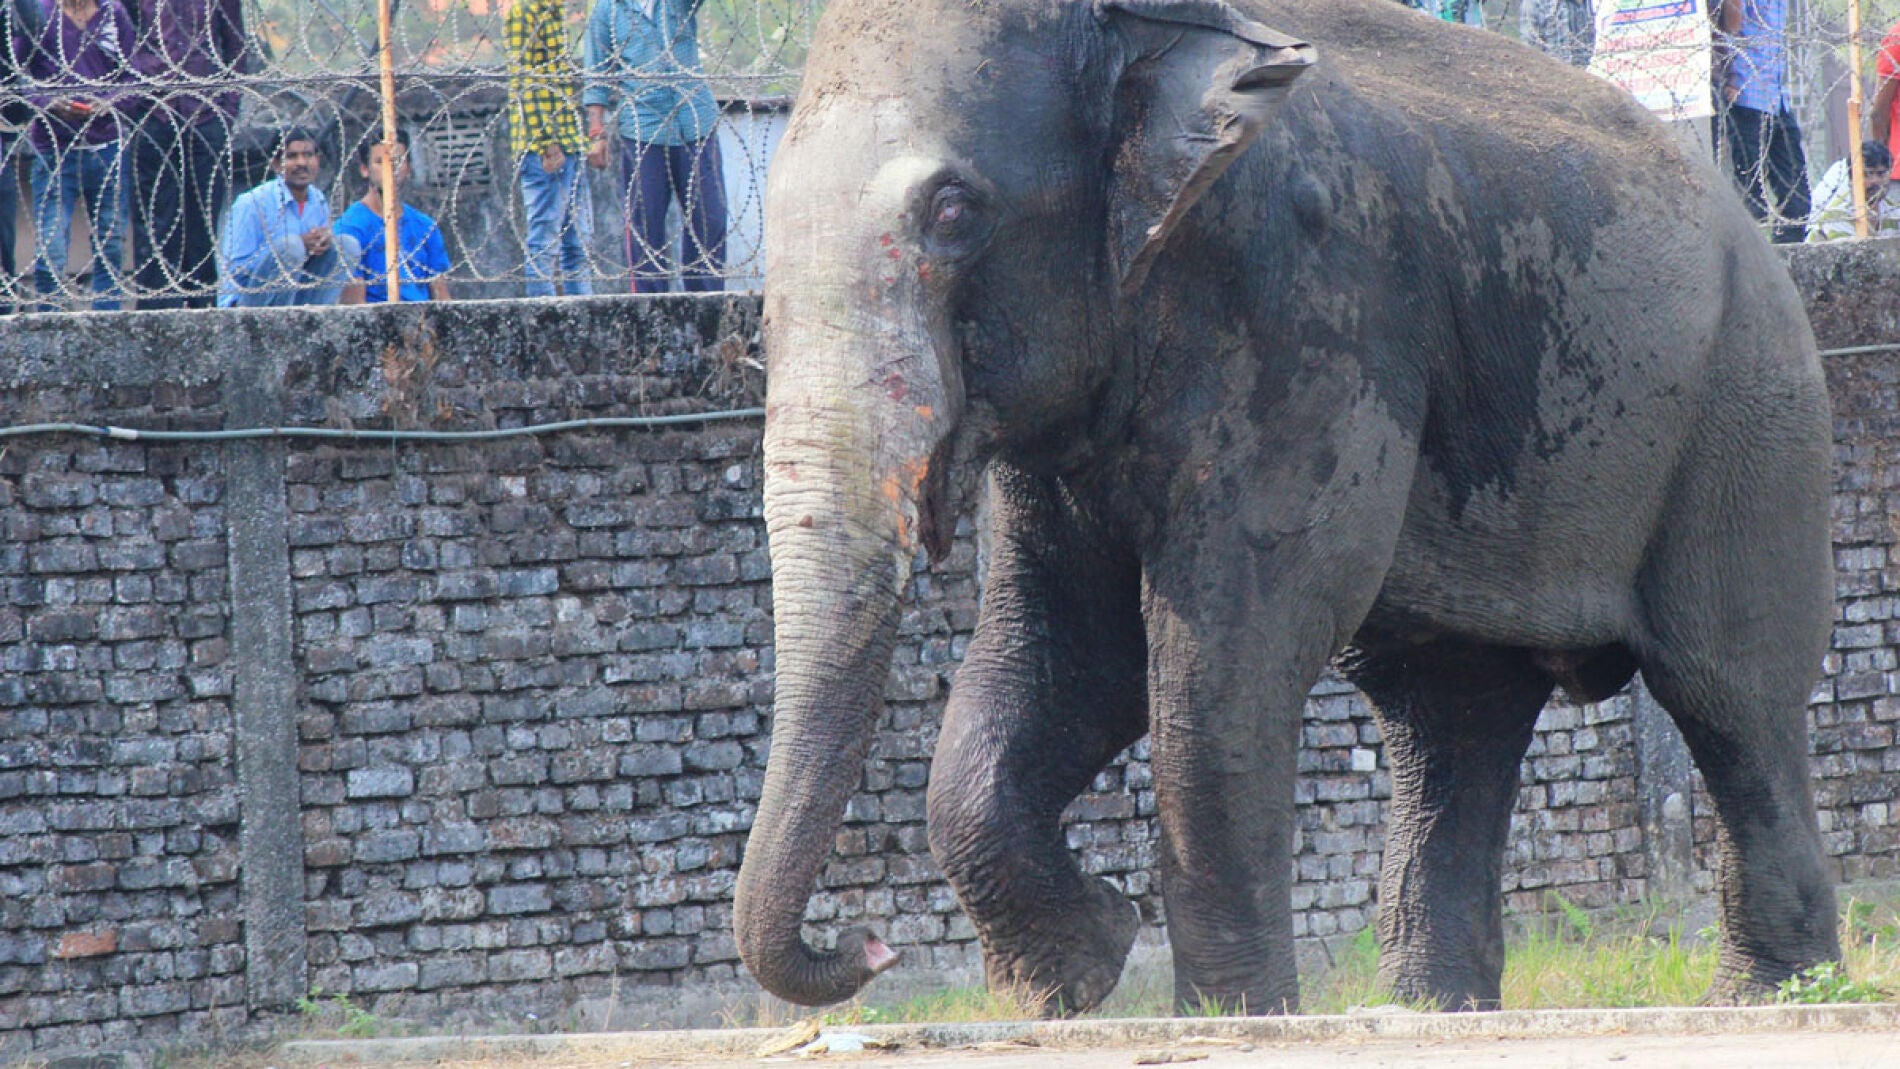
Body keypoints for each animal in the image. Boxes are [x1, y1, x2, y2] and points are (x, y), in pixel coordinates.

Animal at [731, 0, 1841, 1016]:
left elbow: (1226, 645)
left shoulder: (1310, 309)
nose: (867, 946)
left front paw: (1231, 1013)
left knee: (1727, 692)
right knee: (1449, 715)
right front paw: (1078, 969)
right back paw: (1430, 1011)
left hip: (1750, 411)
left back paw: (1769, 997)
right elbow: (1074, 650)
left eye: (954, 211)